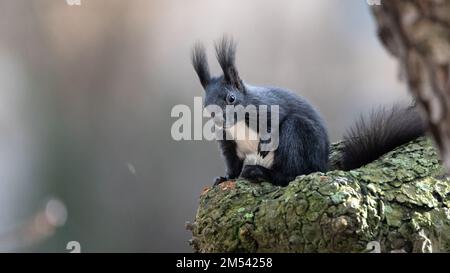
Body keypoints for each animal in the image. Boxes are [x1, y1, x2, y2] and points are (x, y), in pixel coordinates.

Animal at [191, 36, 426, 185]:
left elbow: (274, 123)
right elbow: (233, 163)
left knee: (294, 174)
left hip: (297, 133)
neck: (239, 123)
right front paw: (225, 178)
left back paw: (261, 173)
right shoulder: (229, 142)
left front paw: (265, 143)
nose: (220, 121)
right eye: (207, 107)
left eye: (231, 98)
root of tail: (322, 165)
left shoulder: (267, 107)